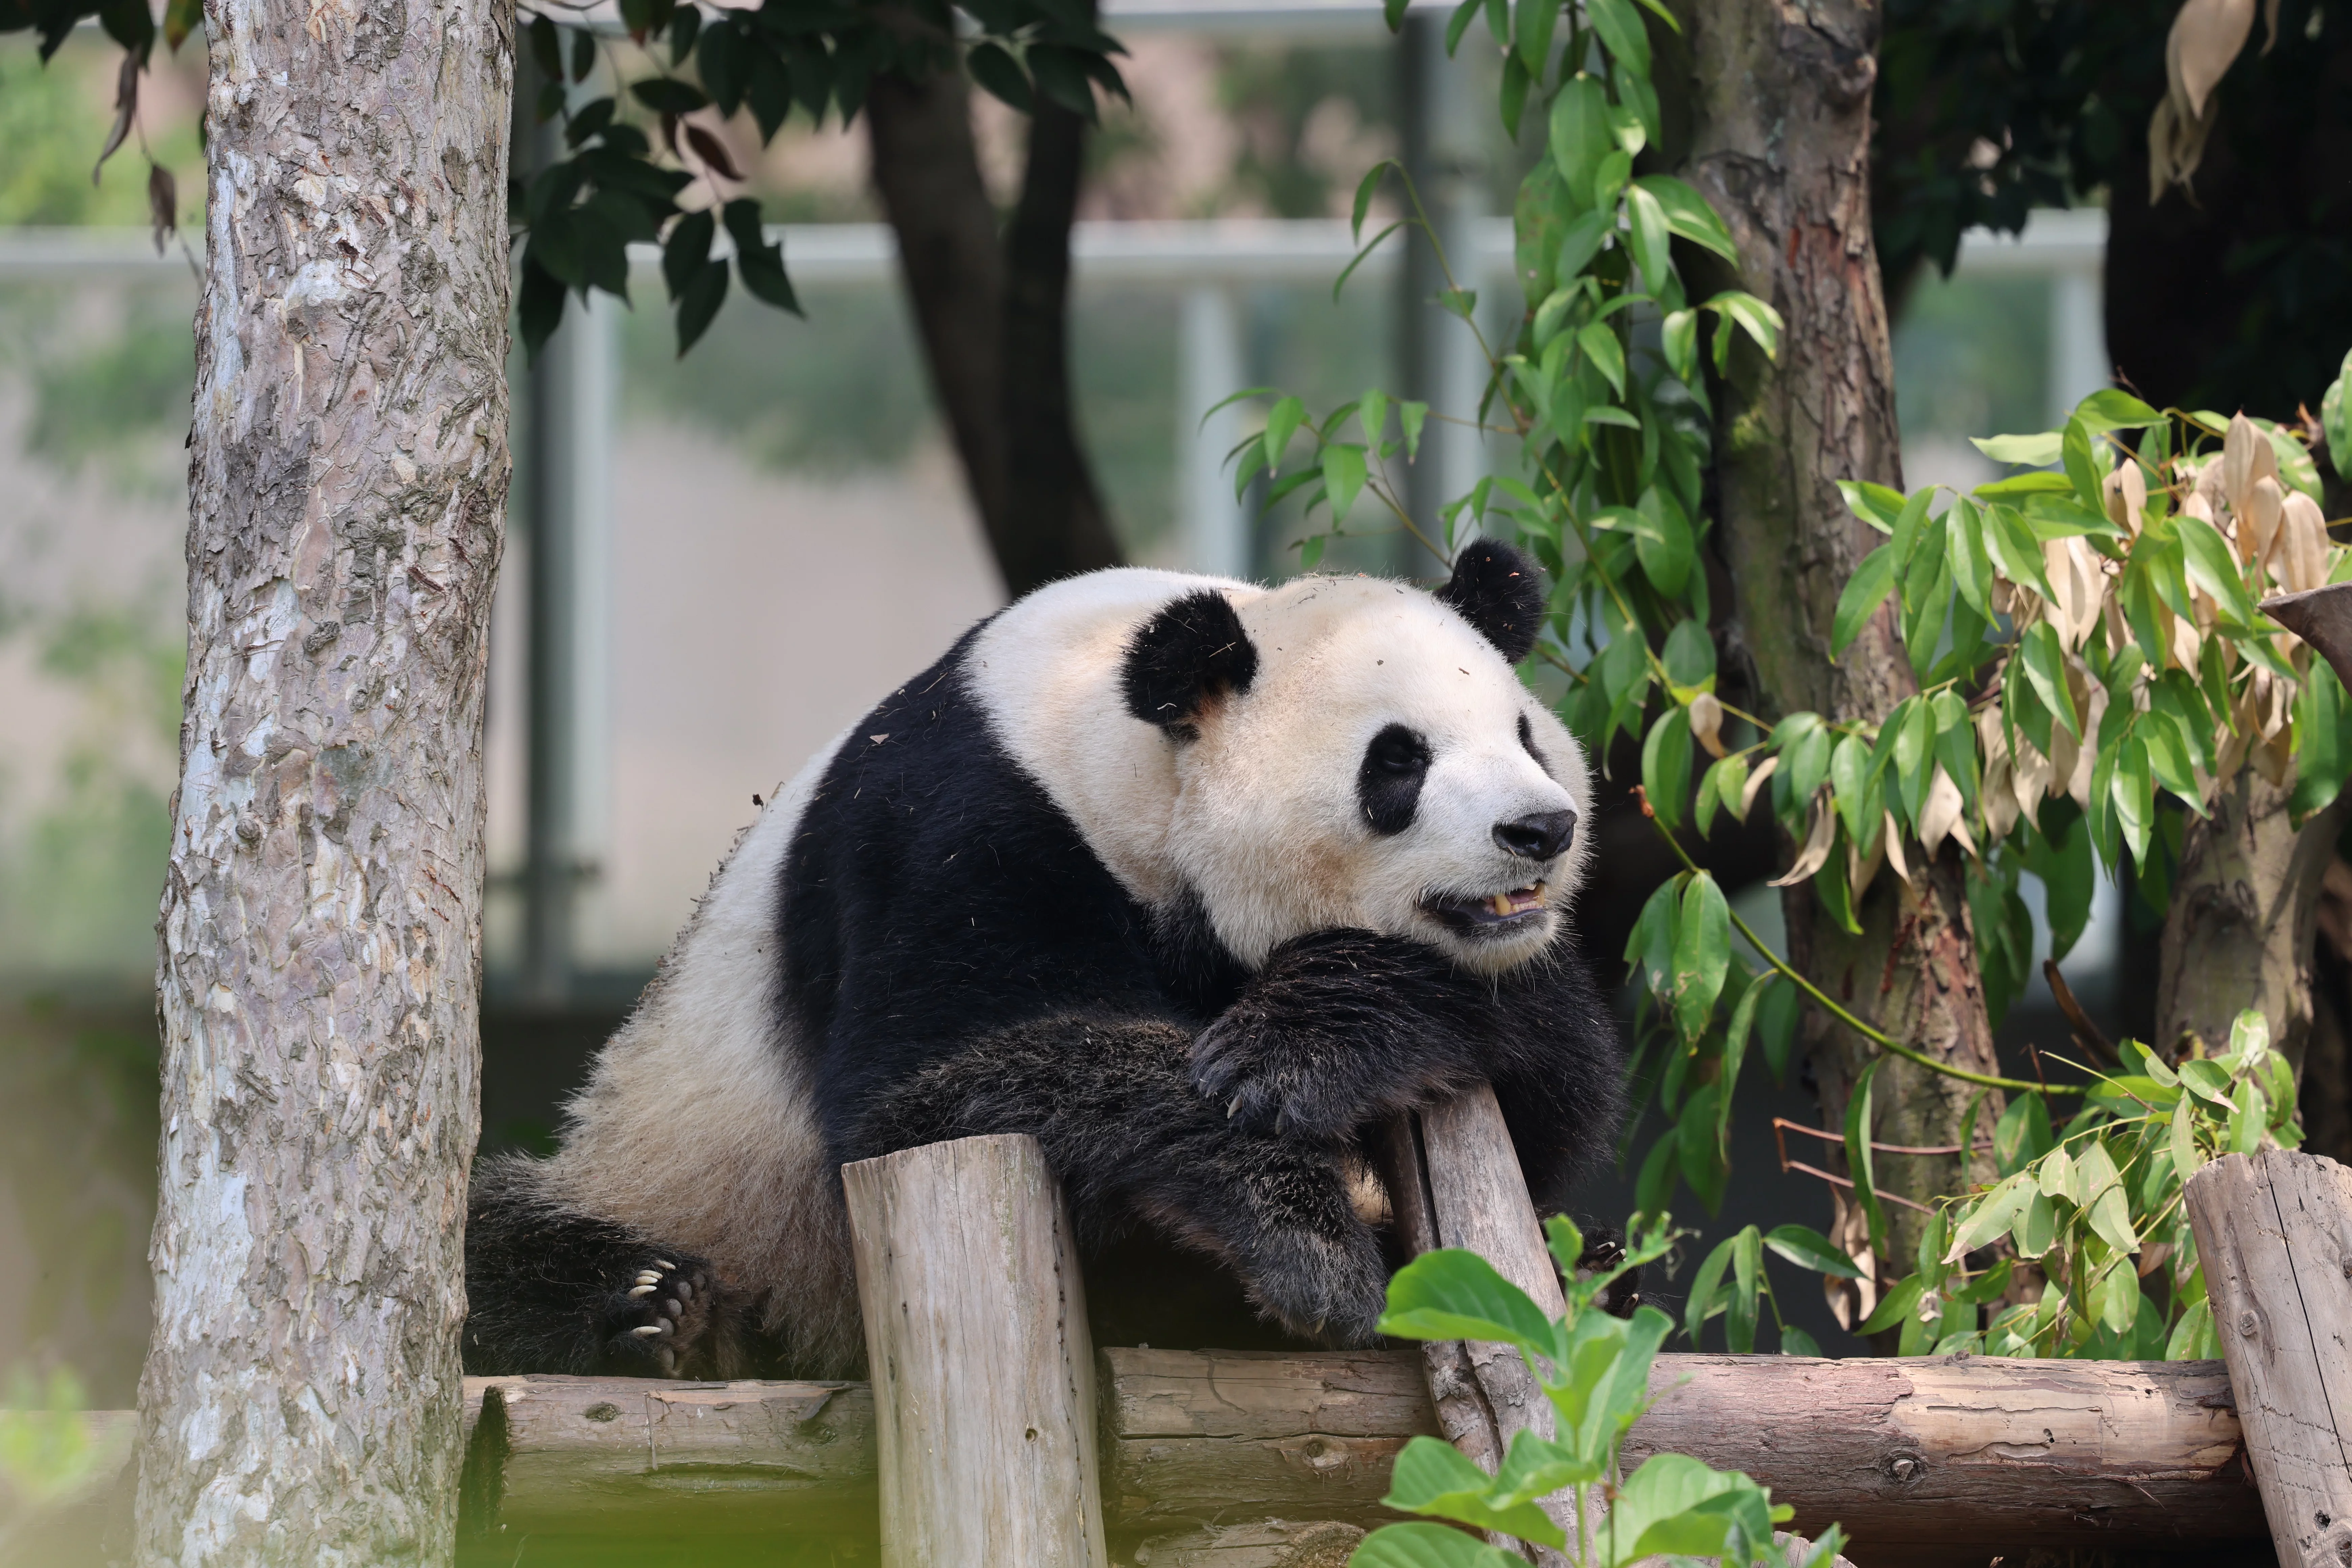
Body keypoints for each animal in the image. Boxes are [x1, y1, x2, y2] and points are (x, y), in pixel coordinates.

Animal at [462, 540, 1624, 1380]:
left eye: (1525, 733)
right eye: (1398, 762)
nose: (1541, 829)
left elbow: (1549, 1093)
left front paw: (1312, 1040)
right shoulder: (955, 837)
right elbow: (931, 1095)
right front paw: (1308, 1246)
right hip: (678, 1185)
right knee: (494, 1248)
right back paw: (658, 1317)